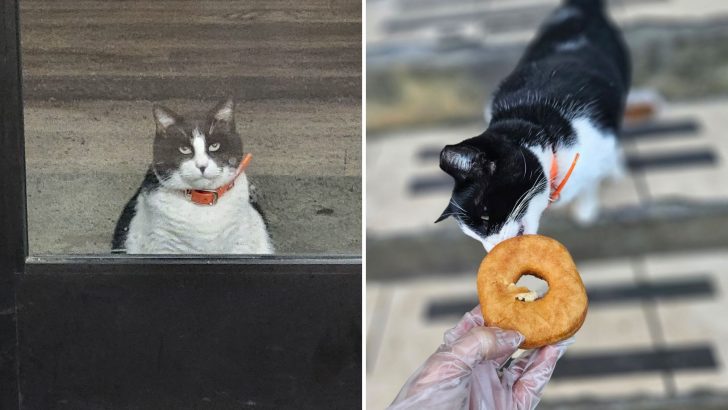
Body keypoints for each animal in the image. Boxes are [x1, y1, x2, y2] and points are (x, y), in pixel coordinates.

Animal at [112, 97, 274, 255]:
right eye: (184, 149)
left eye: (214, 146)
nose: (202, 165)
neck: (203, 200)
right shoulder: (163, 246)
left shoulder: (241, 245)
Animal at [436, 0, 628, 251]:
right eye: (474, 236)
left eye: (485, 216)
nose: (493, 250)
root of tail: (579, 8)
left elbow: (592, 180)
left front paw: (587, 207)